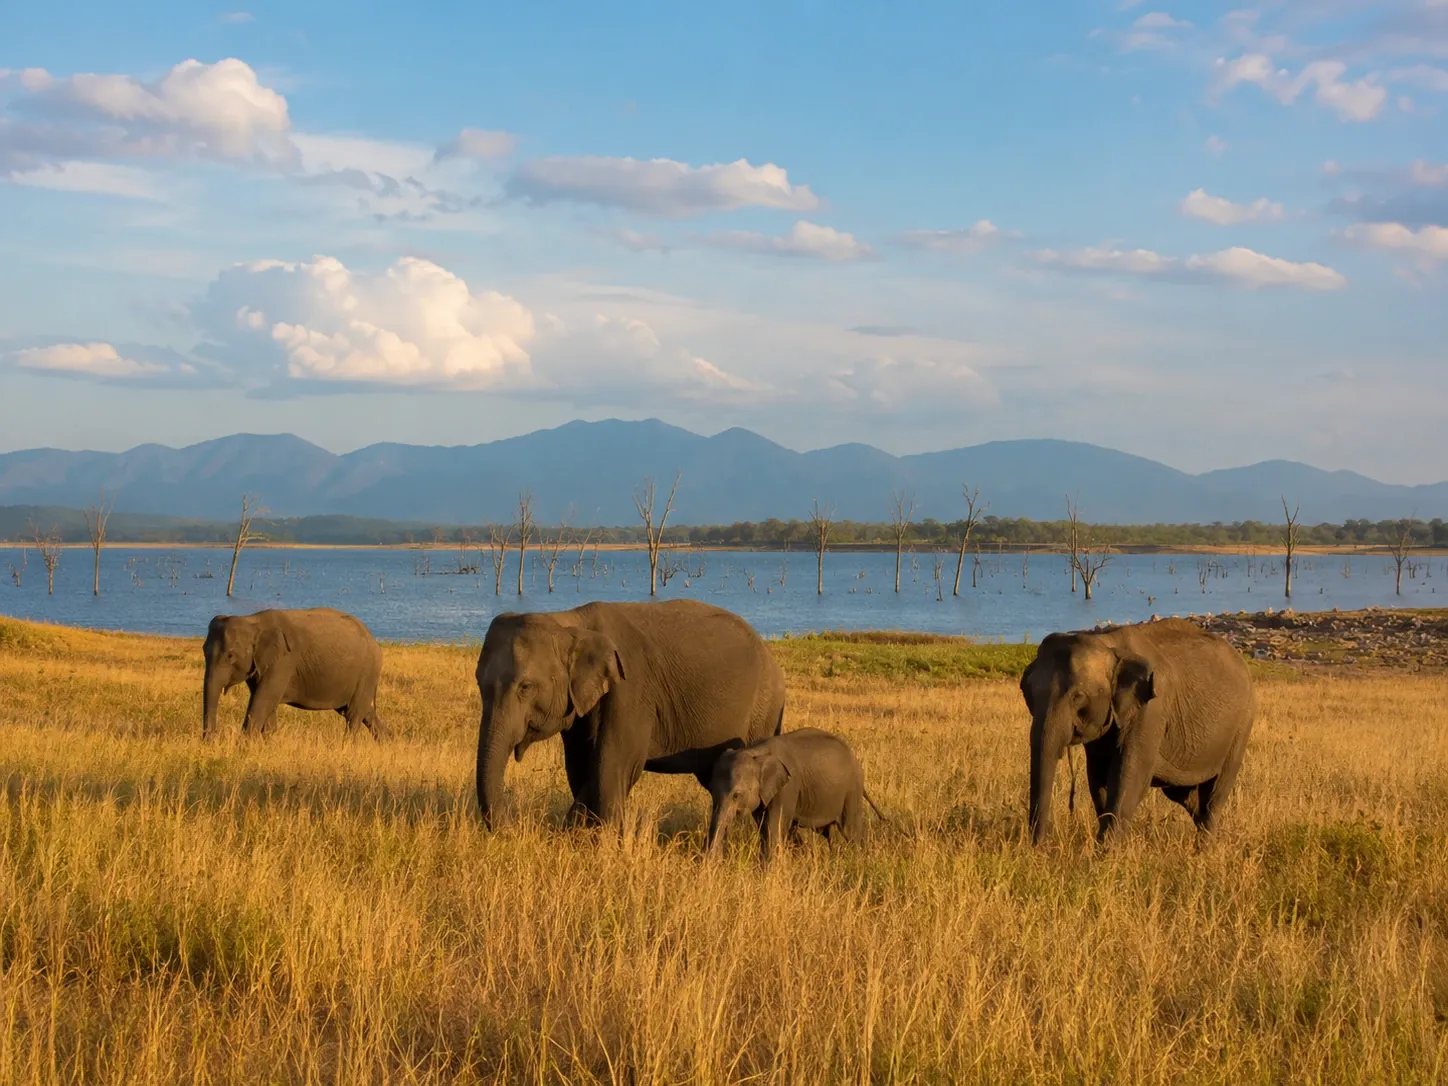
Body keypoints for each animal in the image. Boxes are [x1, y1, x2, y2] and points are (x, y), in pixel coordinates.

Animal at [202, 607, 388, 739]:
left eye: (230, 656)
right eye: (204, 650)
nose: (213, 739)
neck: (253, 620)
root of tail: (373, 638)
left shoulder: (284, 661)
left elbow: (263, 699)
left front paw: (245, 747)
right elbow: (266, 703)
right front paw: (269, 742)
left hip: (367, 672)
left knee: (353, 715)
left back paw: (347, 746)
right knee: (361, 711)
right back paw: (387, 743)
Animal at [474, 599, 786, 828]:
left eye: (525, 687)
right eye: (479, 682)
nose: (512, 828)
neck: (570, 622)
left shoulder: (631, 690)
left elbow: (614, 765)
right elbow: (579, 766)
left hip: (763, 710)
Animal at [706, 727, 883, 863]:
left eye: (736, 795)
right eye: (712, 792)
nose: (717, 862)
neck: (755, 753)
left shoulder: (788, 787)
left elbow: (774, 827)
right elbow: (763, 827)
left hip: (851, 791)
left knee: (850, 830)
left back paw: (859, 861)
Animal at [1019, 617, 1253, 845]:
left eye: (1078, 697)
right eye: (1027, 693)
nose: (1041, 847)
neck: (1107, 642)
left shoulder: (1151, 709)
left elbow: (1129, 776)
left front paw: (1105, 852)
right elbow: (1098, 777)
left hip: (1241, 727)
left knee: (1214, 796)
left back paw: (1204, 850)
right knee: (1187, 796)